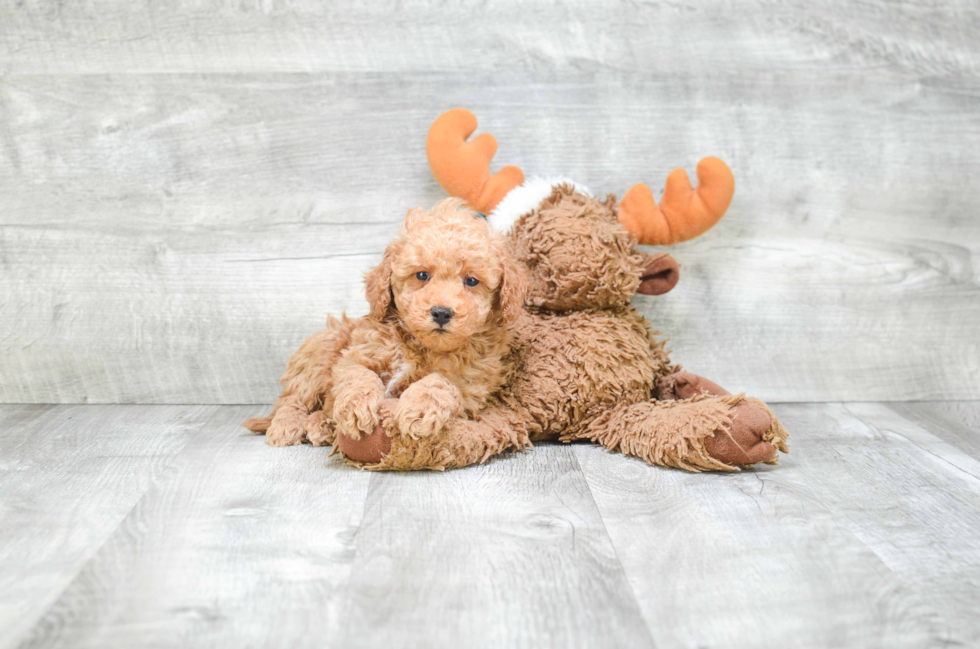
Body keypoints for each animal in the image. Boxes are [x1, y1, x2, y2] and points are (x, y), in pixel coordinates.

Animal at [242, 200, 524, 448]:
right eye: (422, 275)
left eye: (472, 281)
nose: (442, 313)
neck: (420, 346)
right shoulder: (354, 355)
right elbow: (359, 375)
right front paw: (356, 408)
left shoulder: (470, 386)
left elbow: (439, 383)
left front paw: (418, 409)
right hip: (321, 349)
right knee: (292, 399)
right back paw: (286, 426)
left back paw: (321, 426)